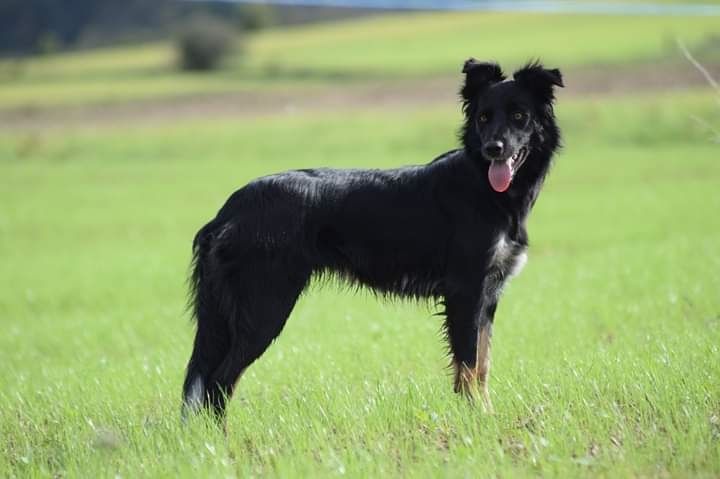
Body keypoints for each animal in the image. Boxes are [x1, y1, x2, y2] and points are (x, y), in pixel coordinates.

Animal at [180, 60, 564, 420]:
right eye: (484, 117)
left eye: (519, 116)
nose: (493, 149)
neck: (483, 185)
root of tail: (229, 210)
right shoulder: (466, 291)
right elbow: (469, 367)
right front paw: (477, 419)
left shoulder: (488, 295)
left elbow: (482, 366)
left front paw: (485, 415)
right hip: (265, 304)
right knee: (219, 381)